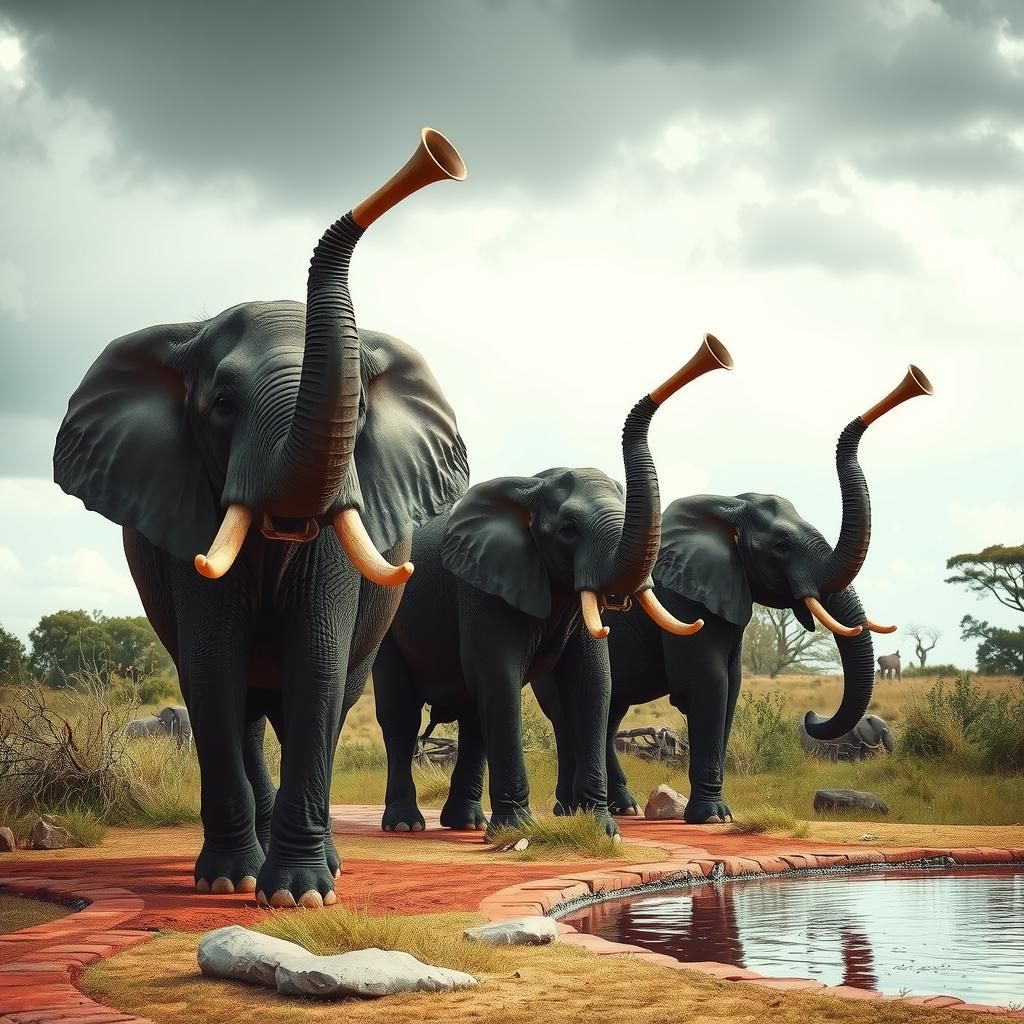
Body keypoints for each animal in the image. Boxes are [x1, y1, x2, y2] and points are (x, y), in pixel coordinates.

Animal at [53, 129, 470, 907]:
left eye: (359, 409)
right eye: (221, 405)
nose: (438, 154)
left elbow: (318, 660)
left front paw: (300, 893)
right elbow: (212, 664)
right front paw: (229, 881)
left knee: (336, 695)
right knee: (239, 700)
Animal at [371, 336, 733, 837]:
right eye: (566, 530)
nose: (714, 351)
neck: (530, 487)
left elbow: (592, 683)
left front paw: (602, 829)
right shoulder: (479, 586)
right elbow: (500, 676)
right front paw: (517, 832)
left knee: (472, 714)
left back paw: (466, 824)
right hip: (389, 622)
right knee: (402, 715)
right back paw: (408, 826)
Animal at [535, 366, 932, 824]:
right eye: (782, 545)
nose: (812, 718)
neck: (728, 508)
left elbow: (732, 687)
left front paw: (717, 814)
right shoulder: (685, 600)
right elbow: (708, 684)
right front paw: (711, 817)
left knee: (610, 712)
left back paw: (624, 807)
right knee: (568, 712)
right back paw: (570, 809)